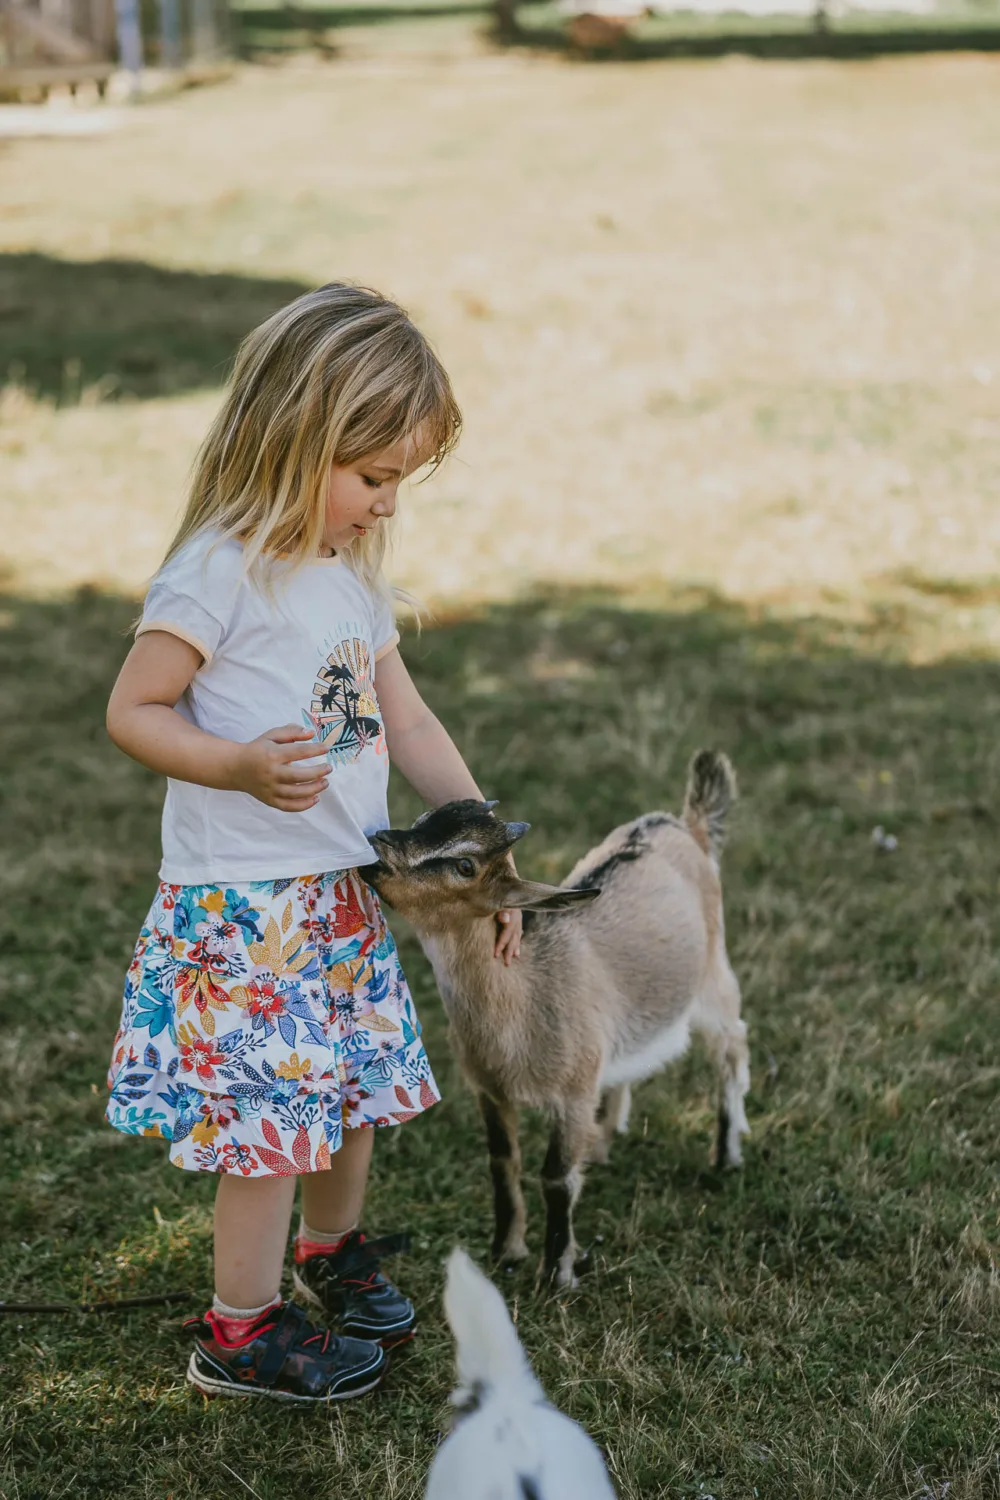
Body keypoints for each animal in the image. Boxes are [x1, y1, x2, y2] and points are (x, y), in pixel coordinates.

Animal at [364, 756, 746, 1284]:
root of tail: (687, 824)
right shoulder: (490, 1091)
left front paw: (556, 1273)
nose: (378, 845)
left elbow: (556, 1177)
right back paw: (604, 1142)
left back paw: (726, 1155)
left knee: (732, 1046)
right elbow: (502, 1162)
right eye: (423, 819)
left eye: (465, 865)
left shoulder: (572, 1094)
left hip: (712, 976)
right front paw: (506, 1251)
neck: (522, 1001)